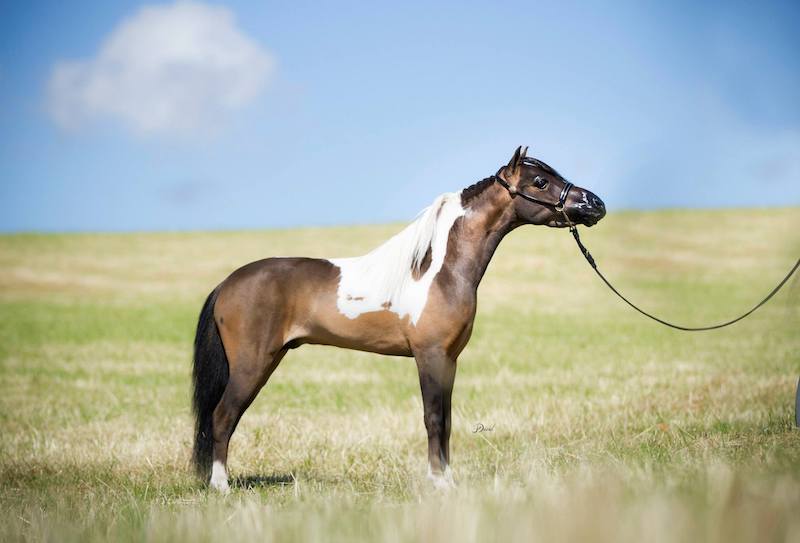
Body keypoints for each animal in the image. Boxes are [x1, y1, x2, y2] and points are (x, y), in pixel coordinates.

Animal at [191, 146, 606, 492]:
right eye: (540, 181)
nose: (595, 204)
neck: (439, 271)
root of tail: (227, 283)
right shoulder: (430, 356)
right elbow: (433, 418)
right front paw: (438, 483)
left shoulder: (449, 361)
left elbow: (447, 420)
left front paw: (448, 480)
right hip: (252, 364)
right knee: (223, 416)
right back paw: (221, 486)